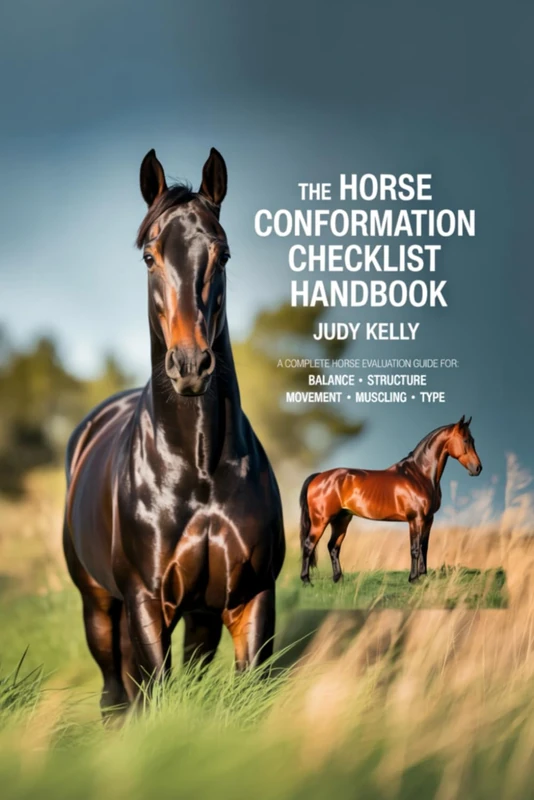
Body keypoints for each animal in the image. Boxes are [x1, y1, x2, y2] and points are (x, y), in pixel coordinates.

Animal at [63, 147, 285, 716]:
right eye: (150, 256)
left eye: (222, 254)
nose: (190, 366)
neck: (197, 468)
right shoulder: (146, 601)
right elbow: (154, 695)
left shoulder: (249, 598)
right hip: (99, 606)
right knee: (116, 696)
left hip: (200, 617)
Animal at [299, 416, 482, 584]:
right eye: (466, 440)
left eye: (473, 440)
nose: (478, 468)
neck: (419, 475)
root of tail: (319, 476)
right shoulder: (415, 519)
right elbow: (415, 548)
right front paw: (413, 579)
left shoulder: (429, 519)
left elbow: (424, 547)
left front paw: (423, 576)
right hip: (321, 520)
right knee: (309, 545)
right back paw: (306, 581)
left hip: (341, 519)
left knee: (333, 547)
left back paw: (338, 578)